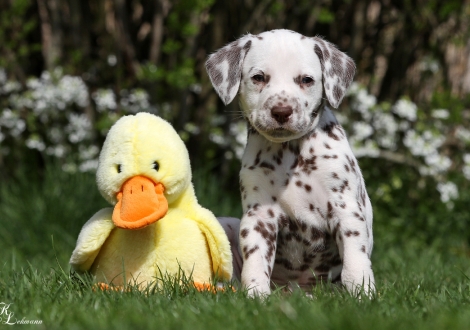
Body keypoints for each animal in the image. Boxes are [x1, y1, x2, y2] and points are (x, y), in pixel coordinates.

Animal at [206, 29, 374, 296]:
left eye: (306, 80)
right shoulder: (259, 215)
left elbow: (355, 261)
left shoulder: (346, 209)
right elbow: (256, 260)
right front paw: (256, 294)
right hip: (226, 225)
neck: (290, 154)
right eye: (259, 77)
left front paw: (362, 294)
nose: (281, 111)